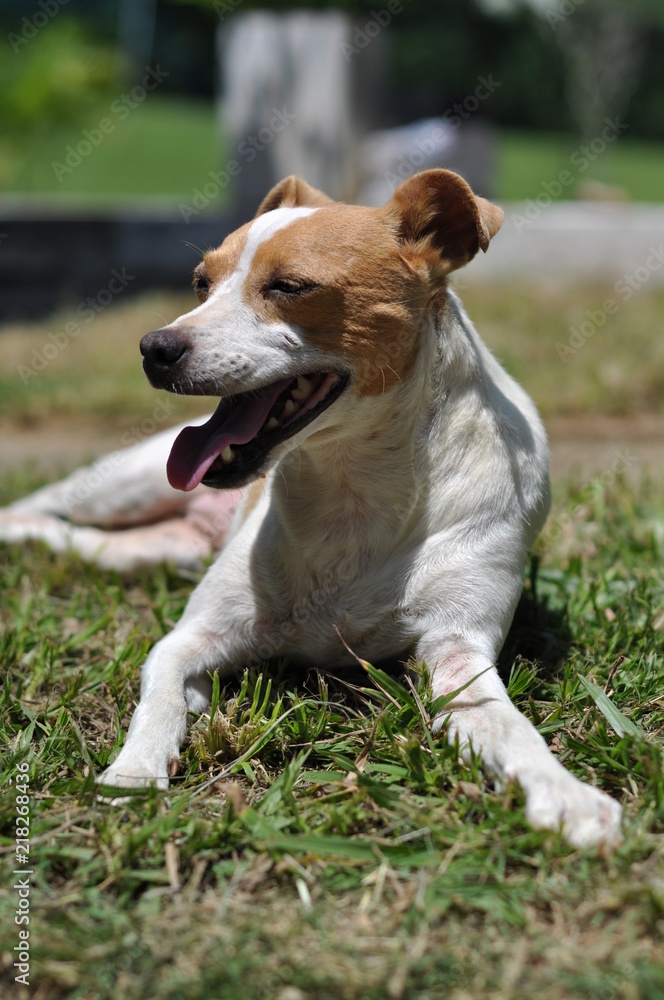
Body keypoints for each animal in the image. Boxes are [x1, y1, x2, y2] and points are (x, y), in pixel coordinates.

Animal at [0, 169, 622, 848]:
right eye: (201, 283)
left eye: (290, 287)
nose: (153, 347)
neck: (350, 487)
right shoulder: (191, 639)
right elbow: (158, 701)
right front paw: (133, 774)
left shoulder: (458, 651)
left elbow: (509, 727)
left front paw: (566, 794)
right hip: (123, 481)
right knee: (41, 505)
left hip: (140, 551)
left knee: (71, 537)